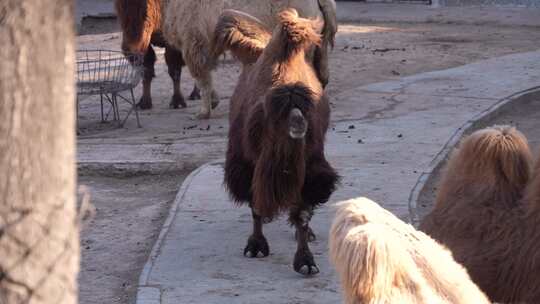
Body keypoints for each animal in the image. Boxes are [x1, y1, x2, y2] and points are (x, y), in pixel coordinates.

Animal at [162, 0, 336, 119]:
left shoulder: (194, 41)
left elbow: (202, 77)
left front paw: (204, 112)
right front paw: (214, 101)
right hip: (317, 39)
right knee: (322, 71)